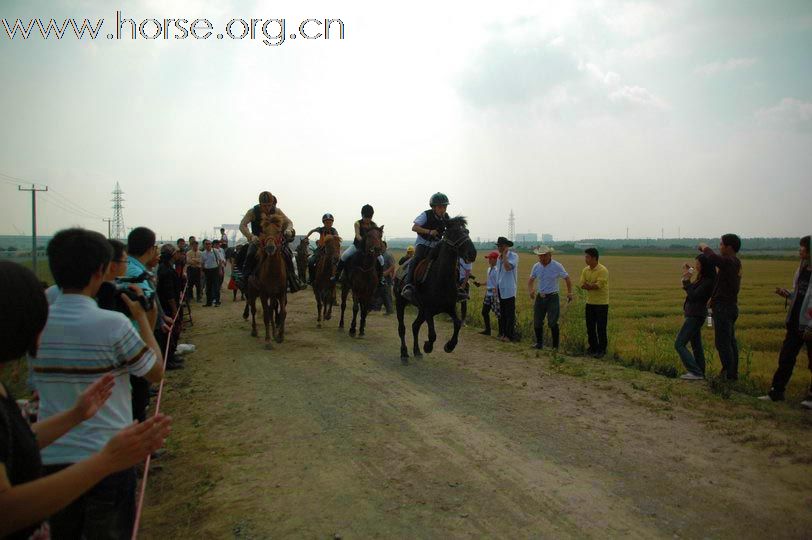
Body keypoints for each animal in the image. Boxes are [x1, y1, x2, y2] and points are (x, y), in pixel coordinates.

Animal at [241, 213, 288, 348]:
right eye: (265, 231)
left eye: (278, 231)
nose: (270, 248)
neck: (273, 273)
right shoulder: (263, 294)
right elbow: (266, 315)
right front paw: (268, 340)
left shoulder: (281, 292)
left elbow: (282, 312)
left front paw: (280, 336)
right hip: (252, 292)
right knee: (253, 309)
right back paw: (254, 331)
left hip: (272, 295)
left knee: (272, 310)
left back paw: (274, 333)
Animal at [394, 217, 476, 364]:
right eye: (454, 232)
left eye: (467, 231)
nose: (472, 254)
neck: (440, 278)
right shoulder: (428, 310)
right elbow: (432, 334)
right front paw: (428, 346)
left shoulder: (449, 308)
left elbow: (457, 323)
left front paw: (449, 346)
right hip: (400, 303)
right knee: (402, 328)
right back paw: (404, 353)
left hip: (420, 310)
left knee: (415, 326)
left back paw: (417, 351)